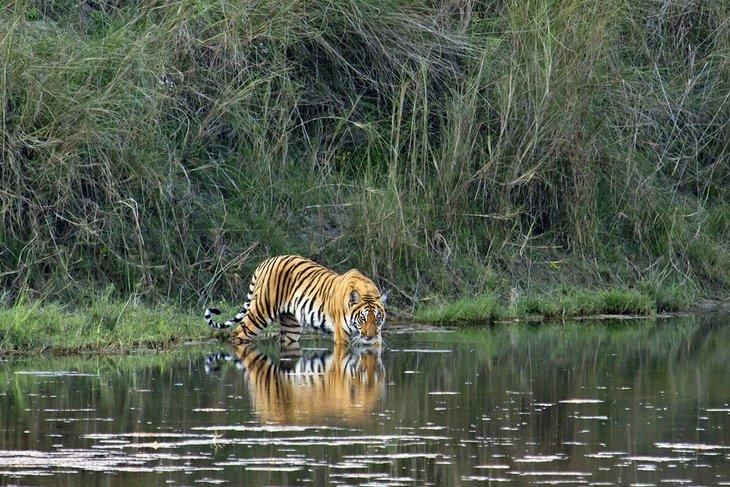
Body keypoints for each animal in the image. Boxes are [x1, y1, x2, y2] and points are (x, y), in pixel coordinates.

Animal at [204, 255, 387, 346]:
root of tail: (267, 261)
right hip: (260, 312)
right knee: (238, 333)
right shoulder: (341, 334)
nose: (369, 336)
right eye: (362, 318)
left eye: (377, 318)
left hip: (291, 325)